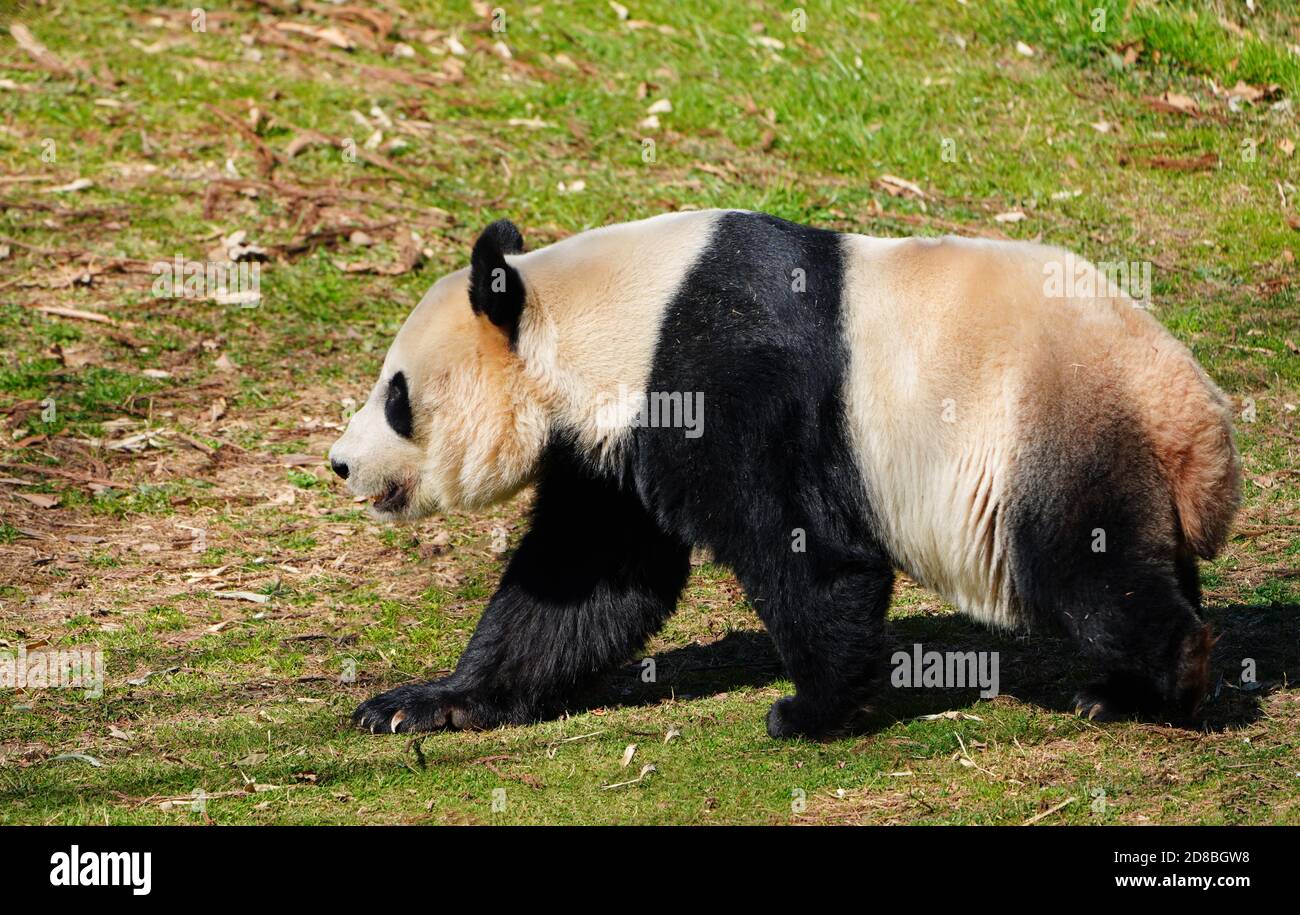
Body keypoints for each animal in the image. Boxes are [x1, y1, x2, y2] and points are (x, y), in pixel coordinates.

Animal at [328, 209, 1241, 739]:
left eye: (396, 394)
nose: (340, 462)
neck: (599, 317)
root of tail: (1190, 415)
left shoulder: (723, 378)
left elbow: (809, 549)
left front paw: (814, 709)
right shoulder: (615, 444)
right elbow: (584, 579)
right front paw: (424, 702)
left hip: (1042, 428)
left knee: (1083, 565)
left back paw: (1163, 683)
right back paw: (1130, 682)